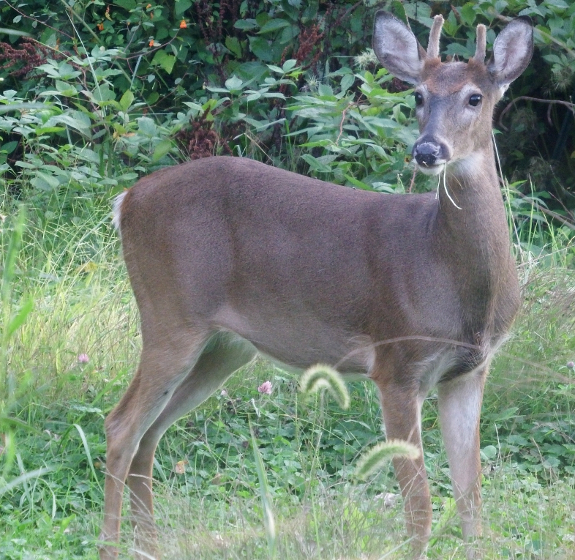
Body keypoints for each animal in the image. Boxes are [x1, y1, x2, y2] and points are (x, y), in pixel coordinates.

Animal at [100, 9, 536, 560]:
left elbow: (471, 497)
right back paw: (110, 545)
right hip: (169, 313)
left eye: (475, 97)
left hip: (222, 347)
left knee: (150, 432)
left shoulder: (469, 371)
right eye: (417, 94)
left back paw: (150, 546)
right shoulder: (396, 362)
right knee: (121, 425)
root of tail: (127, 201)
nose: (428, 150)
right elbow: (421, 504)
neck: (453, 279)